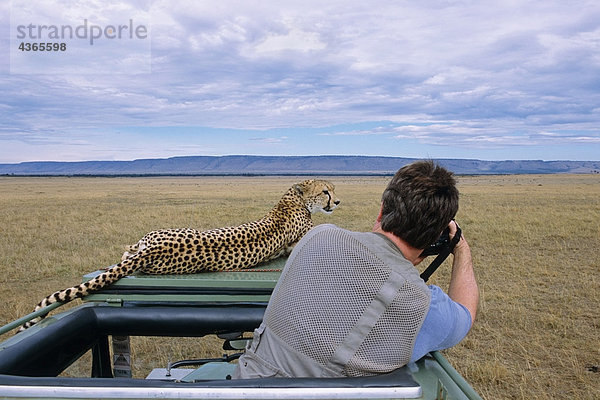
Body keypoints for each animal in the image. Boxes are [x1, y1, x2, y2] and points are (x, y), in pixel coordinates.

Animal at [19, 179, 338, 332]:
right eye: (326, 191)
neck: (292, 198)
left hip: (142, 244)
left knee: (127, 250)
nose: (338, 201)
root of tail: (153, 250)